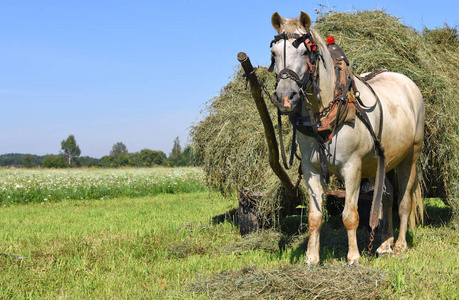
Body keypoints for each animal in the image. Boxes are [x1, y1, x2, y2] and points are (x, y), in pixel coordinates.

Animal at [270, 11, 424, 264]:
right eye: (274, 53)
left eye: (304, 52)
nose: (284, 97)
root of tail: (408, 83)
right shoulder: (311, 168)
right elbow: (314, 216)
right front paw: (311, 258)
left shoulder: (352, 168)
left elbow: (350, 215)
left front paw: (353, 257)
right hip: (382, 160)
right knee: (387, 196)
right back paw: (385, 244)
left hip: (411, 156)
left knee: (404, 201)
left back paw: (400, 245)